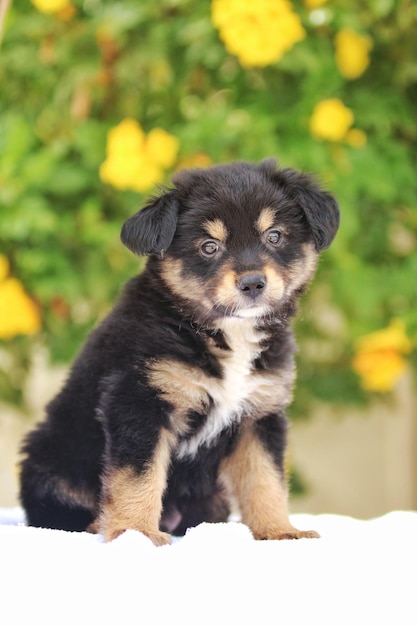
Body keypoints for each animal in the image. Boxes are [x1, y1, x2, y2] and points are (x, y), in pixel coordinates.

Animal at [18, 158, 338, 544]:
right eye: (209, 246)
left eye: (274, 236)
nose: (253, 283)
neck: (222, 332)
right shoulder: (139, 402)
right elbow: (138, 477)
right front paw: (136, 532)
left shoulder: (259, 414)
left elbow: (266, 480)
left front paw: (279, 531)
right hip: (51, 459)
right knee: (57, 511)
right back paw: (99, 524)